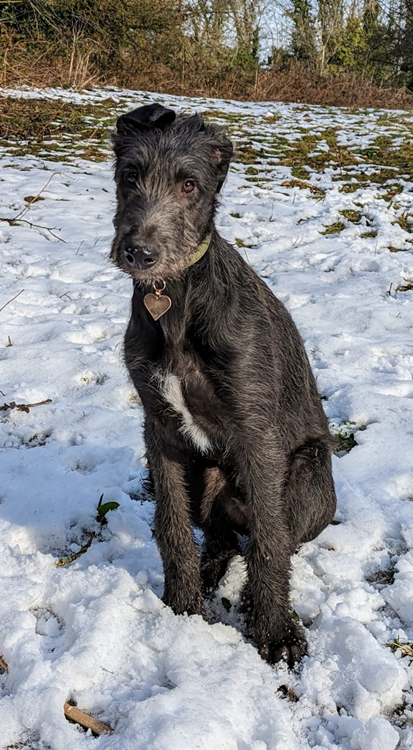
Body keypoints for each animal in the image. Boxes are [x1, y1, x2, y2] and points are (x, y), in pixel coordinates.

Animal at [111, 103, 336, 668]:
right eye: (129, 176)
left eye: (189, 184)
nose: (140, 253)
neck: (176, 299)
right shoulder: (159, 429)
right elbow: (171, 527)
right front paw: (182, 606)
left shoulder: (257, 435)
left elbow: (270, 545)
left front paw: (275, 630)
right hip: (202, 473)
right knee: (223, 539)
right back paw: (210, 570)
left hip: (307, 477)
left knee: (268, 537)